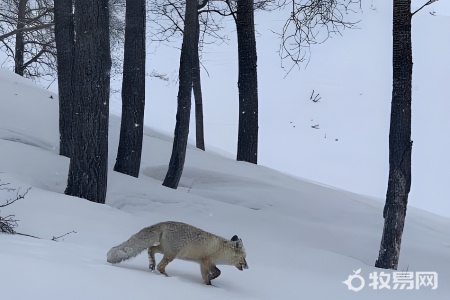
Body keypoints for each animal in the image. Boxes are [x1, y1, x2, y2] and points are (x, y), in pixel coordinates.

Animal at [107, 221, 248, 284]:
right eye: (244, 258)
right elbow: (217, 273)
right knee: (160, 266)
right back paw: (166, 277)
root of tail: (163, 223)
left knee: (150, 249)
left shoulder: (204, 263)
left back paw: (152, 264)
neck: (220, 249)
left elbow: (209, 276)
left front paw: (209, 284)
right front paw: (210, 283)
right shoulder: (206, 261)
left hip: (164, 250)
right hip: (171, 255)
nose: (247, 267)